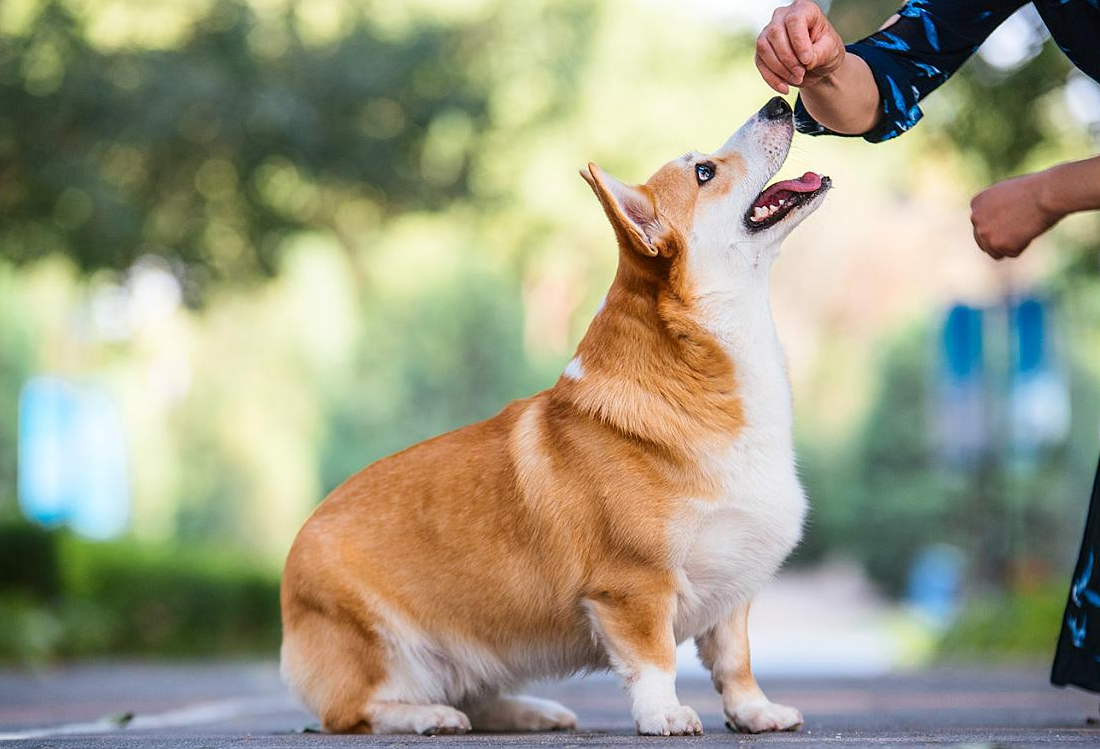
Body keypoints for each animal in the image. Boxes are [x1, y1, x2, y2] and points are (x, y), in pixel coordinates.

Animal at [279, 96, 827, 734]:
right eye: (704, 172)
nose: (778, 103)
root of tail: (291, 564)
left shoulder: (733, 592)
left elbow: (735, 661)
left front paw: (756, 712)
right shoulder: (634, 589)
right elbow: (654, 661)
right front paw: (664, 715)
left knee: (476, 696)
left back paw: (533, 711)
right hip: (387, 647)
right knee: (354, 712)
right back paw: (428, 716)